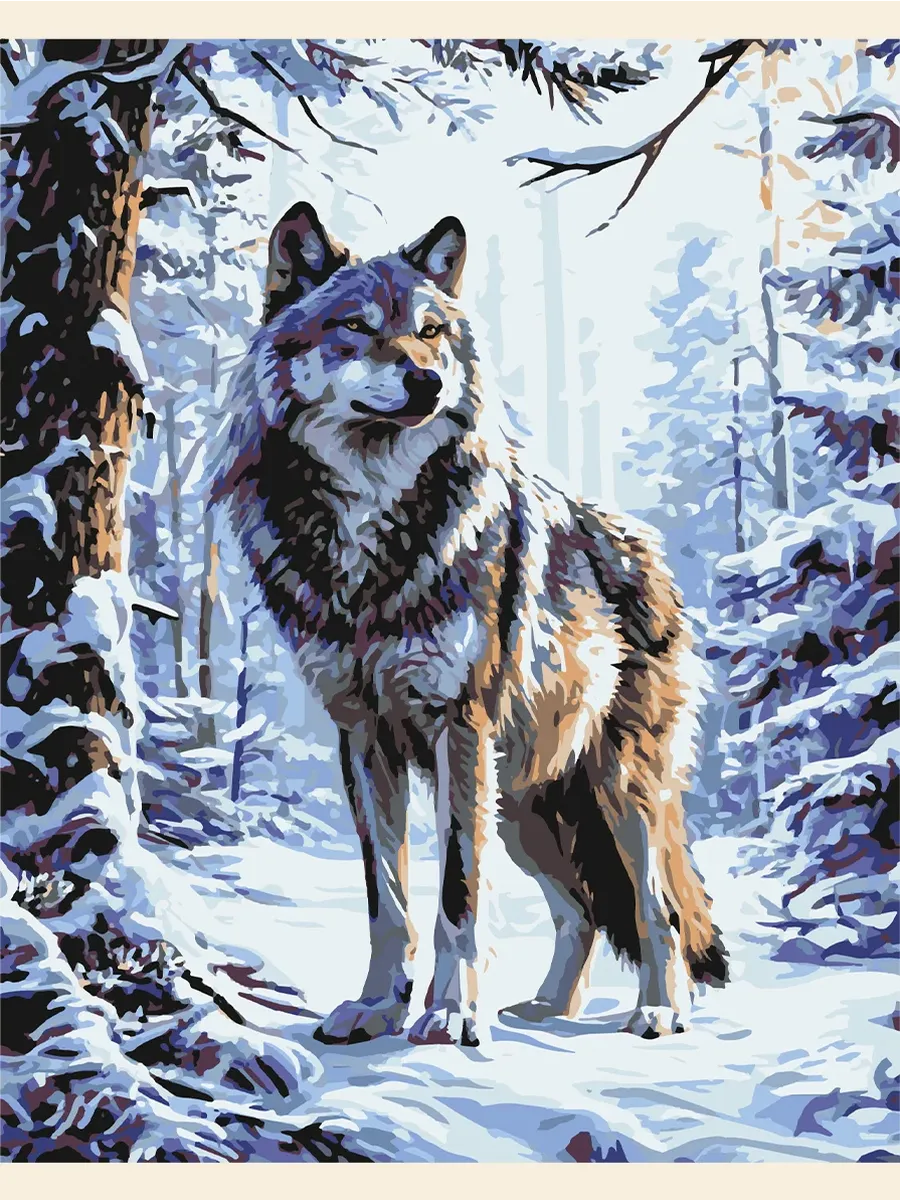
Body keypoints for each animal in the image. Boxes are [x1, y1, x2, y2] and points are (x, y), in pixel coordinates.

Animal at [214, 201, 728, 1047]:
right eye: (355, 327)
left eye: (430, 331)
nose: (425, 379)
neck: (368, 531)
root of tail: (649, 557)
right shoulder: (362, 736)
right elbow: (387, 900)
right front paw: (377, 1007)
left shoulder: (459, 727)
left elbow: (458, 894)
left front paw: (452, 1012)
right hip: (526, 805)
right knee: (583, 912)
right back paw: (548, 1007)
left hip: (613, 793)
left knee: (657, 910)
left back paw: (659, 1010)